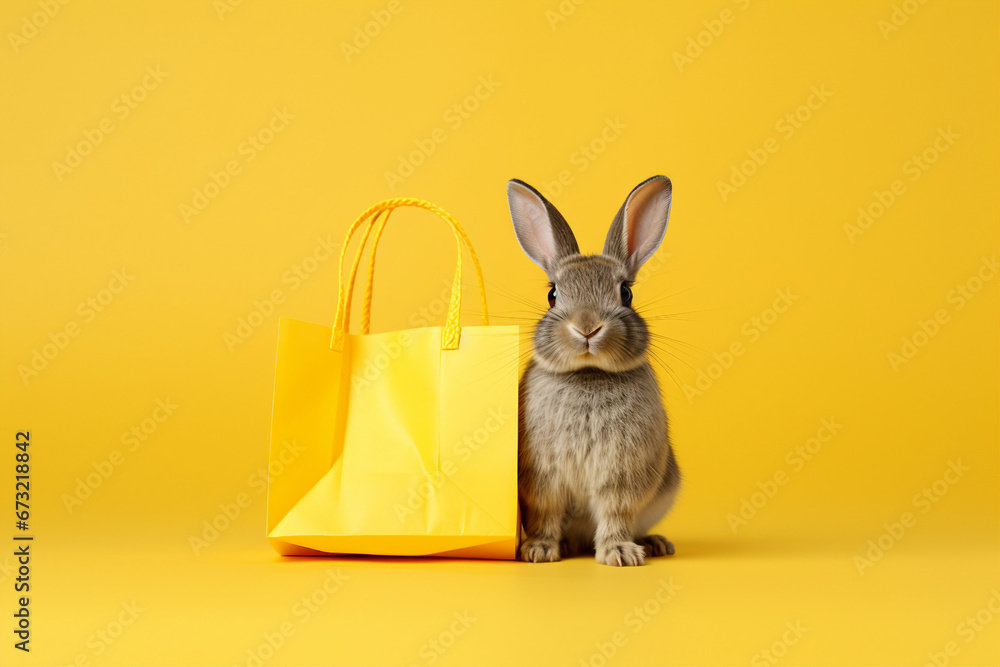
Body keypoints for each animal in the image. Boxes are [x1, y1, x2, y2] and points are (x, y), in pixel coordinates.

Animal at [506, 175, 680, 567]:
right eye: (553, 295)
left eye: (626, 293)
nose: (587, 327)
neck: (589, 373)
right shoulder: (542, 479)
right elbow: (547, 512)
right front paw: (538, 550)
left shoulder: (622, 476)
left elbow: (616, 511)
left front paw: (619, 554)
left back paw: (654, 544)